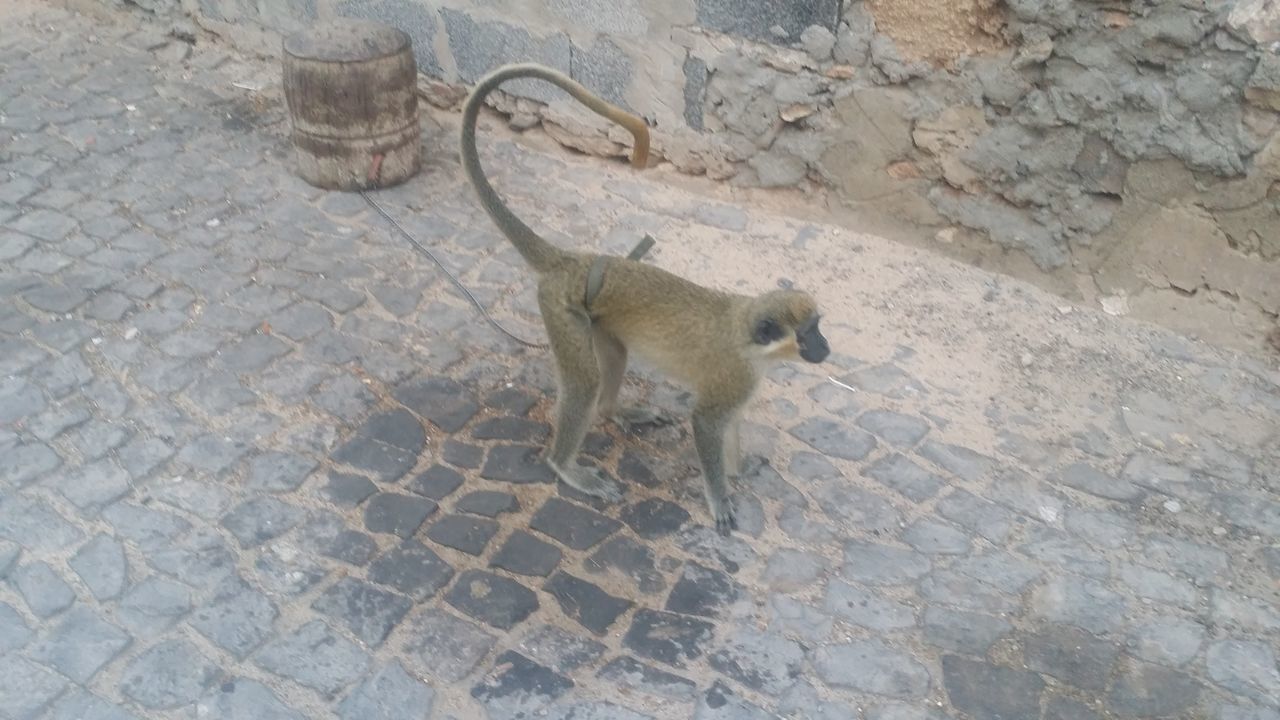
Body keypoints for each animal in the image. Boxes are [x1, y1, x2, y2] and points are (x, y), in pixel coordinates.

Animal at [460, 63, 829, 532]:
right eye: (809, 332)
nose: (825, 347)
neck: (749, 337)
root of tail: (573, 262)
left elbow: (731, 425)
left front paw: (740, 469)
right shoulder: (734, 377)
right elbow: (707, 424)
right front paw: (719, 498)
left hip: (592, 318)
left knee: (613, 360)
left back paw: (613, 411)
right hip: (561, 310)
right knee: (583, 383)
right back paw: (564, 464)